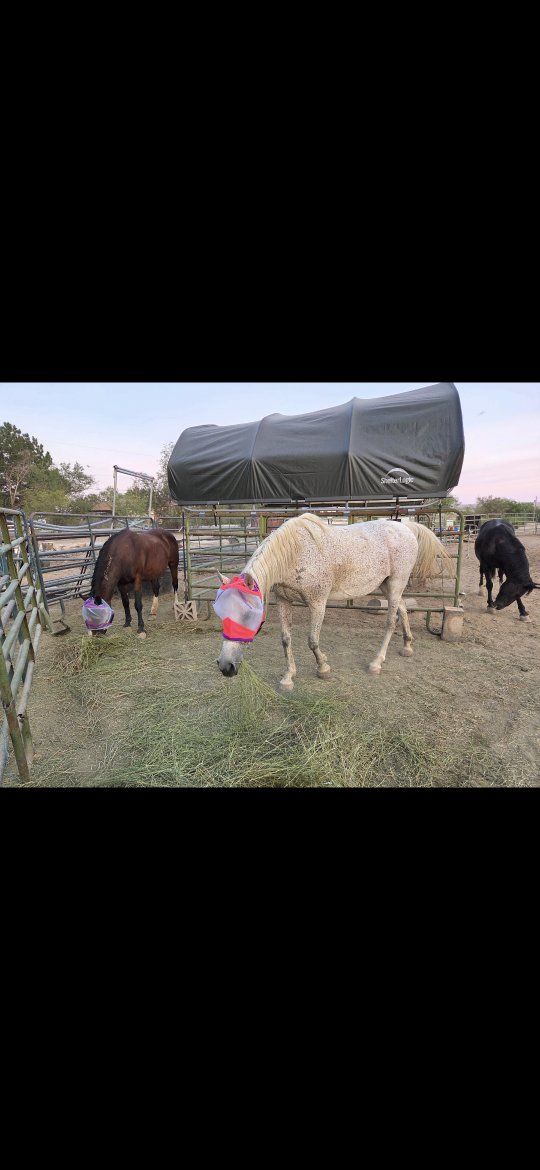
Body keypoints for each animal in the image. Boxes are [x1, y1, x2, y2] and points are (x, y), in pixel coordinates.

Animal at [214, 513, 454, 687]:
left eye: (247, 614)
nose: (226, 667)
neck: (295, 554)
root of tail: (407, 528)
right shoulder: (284, 601)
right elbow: (286, 639)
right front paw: (288, 677)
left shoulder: (318, 602)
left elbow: (312, 640)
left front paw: (323, 668)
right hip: (387, 585)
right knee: (402, 609)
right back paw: (407, 646)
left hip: (396, 583)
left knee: (390, 621)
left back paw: (376, 663)